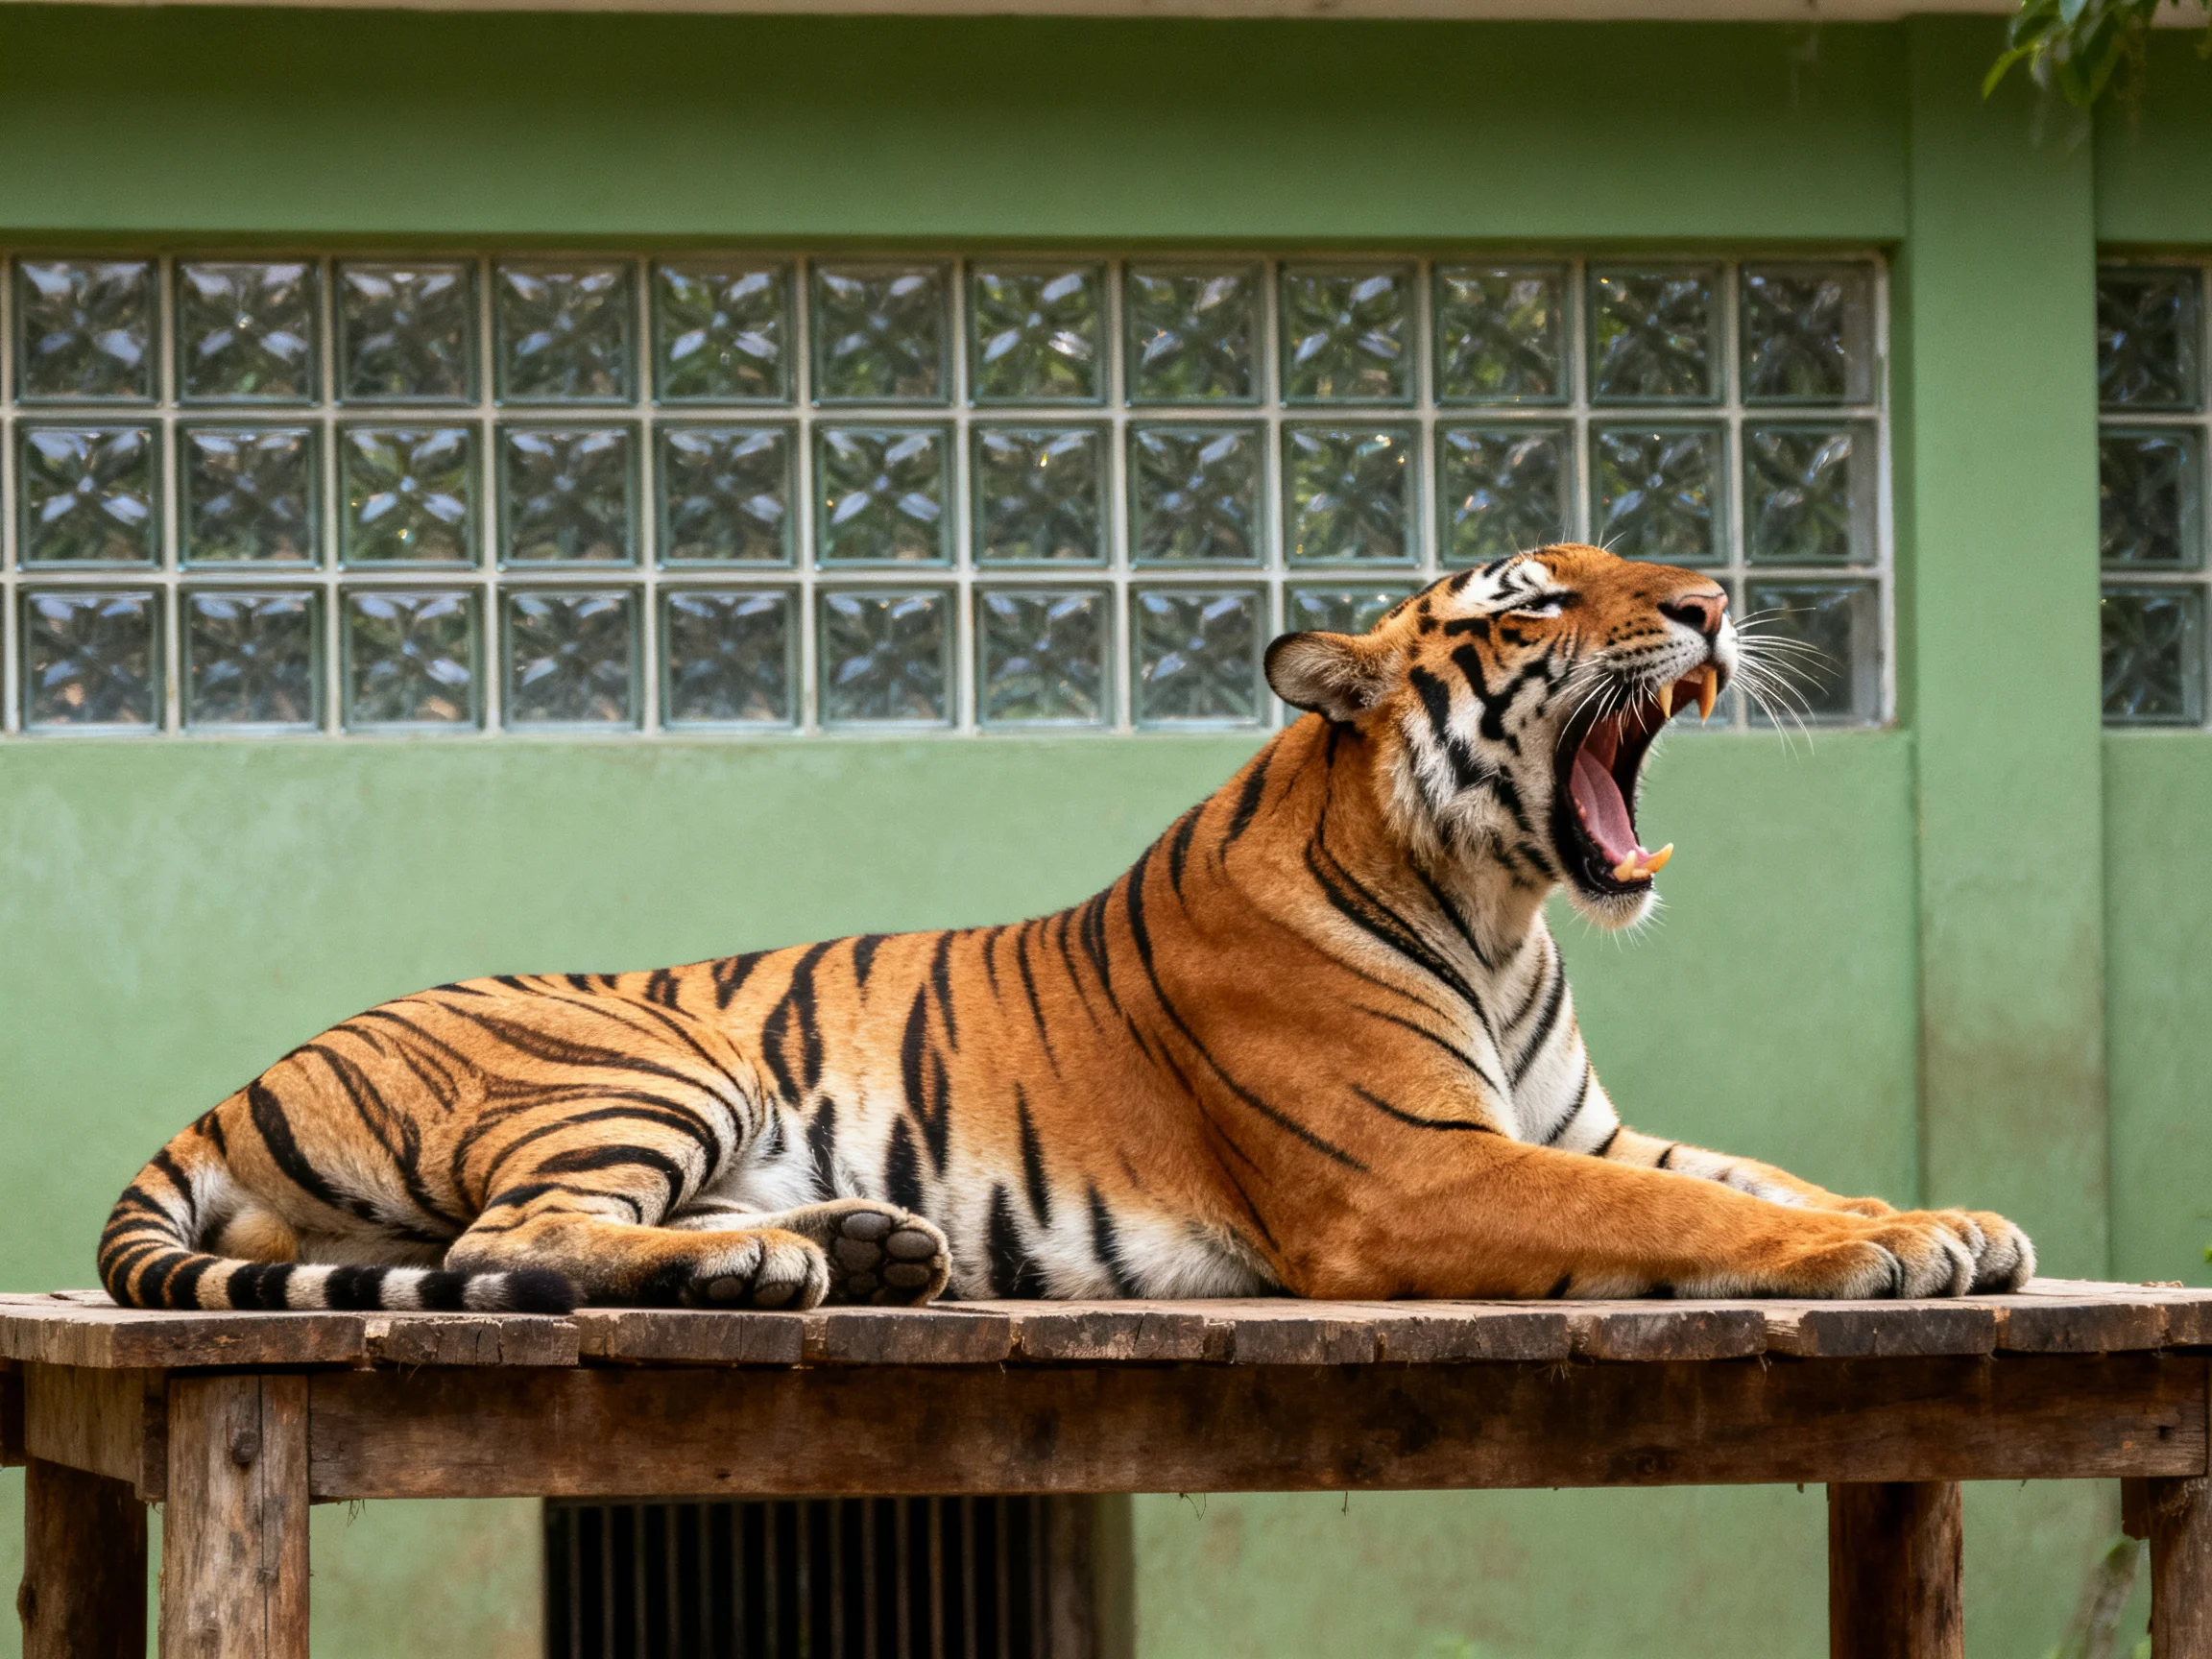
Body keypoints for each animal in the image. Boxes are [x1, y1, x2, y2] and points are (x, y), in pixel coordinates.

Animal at [100, 543, 2034, 1315]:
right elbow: (1672, 1215)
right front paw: (1879, 1255)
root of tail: (225, 1092)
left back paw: (849, 1248)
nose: (1713, 601)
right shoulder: (1413, 1169)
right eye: (1536, 599)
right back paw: (775, 1267)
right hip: (650, 1061)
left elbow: (1752, 1174)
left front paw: (1943, 1219)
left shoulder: (1576, 1123)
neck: (1502, 910)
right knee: (521, 1245)